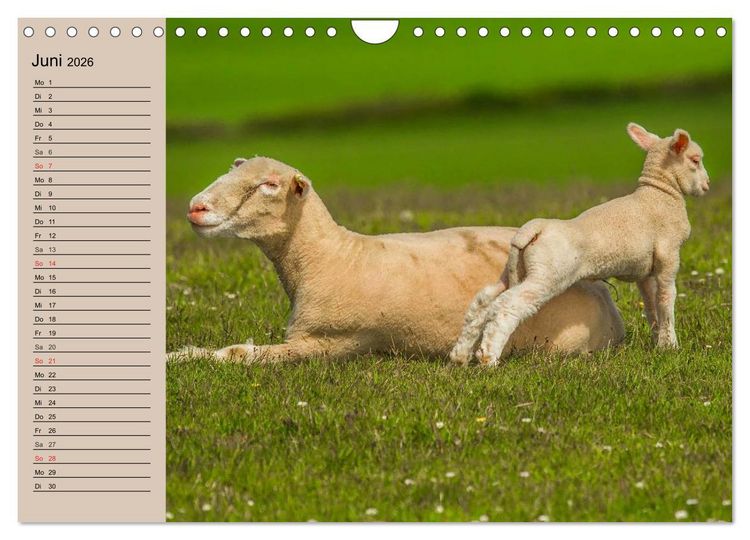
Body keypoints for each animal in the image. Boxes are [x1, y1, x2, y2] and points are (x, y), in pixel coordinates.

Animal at [169, 156, 625, 363]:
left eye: (268, 185)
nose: (196, 207)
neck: (330, 256)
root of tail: (606, 300)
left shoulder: (327, 343)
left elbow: (237, 354)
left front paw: (182, 357)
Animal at [450, 123, 709, 366]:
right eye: (695, 160)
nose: (707, 185)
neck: (660, 193)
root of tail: (533, 229)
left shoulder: (644, 271)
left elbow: (651, 305)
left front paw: (658, 342)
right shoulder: (668, 256)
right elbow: (666, 300)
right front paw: (671, 347)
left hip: (516, 269)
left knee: (485, 300)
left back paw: (460, 355)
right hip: (547, 275)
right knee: (508, 305)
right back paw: (489, 358)